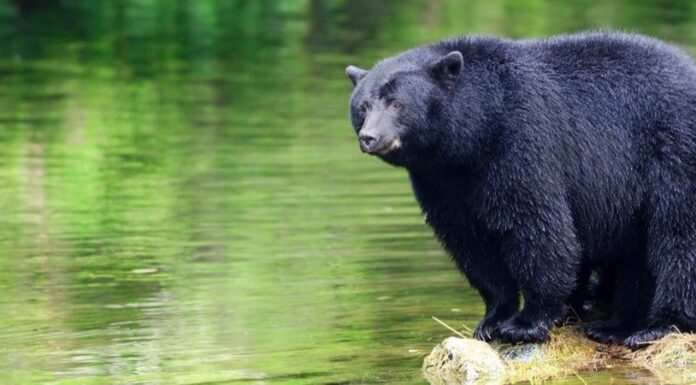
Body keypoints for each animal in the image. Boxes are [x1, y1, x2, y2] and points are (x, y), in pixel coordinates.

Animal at [344, 31, 696, 346]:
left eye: (397, 104)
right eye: (363, 107)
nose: (369, 137)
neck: (475, 133)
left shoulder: (519, 140)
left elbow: (536, 225)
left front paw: (526, 323)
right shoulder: (440, 181)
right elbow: (470, 242)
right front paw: (493, 319)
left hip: (674, 148)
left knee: (678, 235)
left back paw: (657, 326)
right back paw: (612, 322)